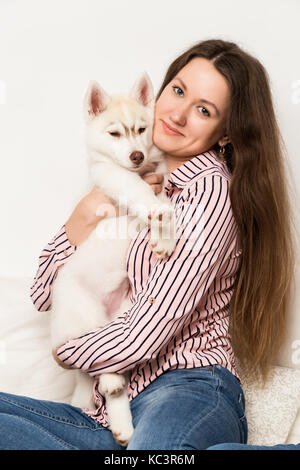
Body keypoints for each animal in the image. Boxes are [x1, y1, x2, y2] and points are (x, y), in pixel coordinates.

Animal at [49, 73, 176, 444]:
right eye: (114, 133)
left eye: (141, 129)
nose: (136, 155)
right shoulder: (109, 176)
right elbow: (139, 189)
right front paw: (157, 212)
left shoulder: (161, 175)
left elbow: (162, 203)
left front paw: (164, 236)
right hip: (86, 312)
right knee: (97, 367)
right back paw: (112, 387)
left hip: (124, 316)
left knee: (107, 366)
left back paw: (123, 425)